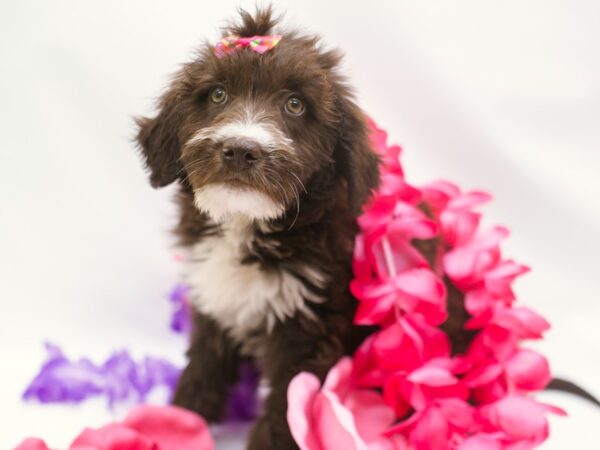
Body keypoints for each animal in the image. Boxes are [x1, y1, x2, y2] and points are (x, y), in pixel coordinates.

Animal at [137, 7, 380, 450]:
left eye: (295, 104)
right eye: (217, 95)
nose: (240, 150)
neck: (245, 223)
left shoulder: (309, 332)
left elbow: (285, 411)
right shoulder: (214, 306)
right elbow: (202, 371)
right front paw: (178, 422)